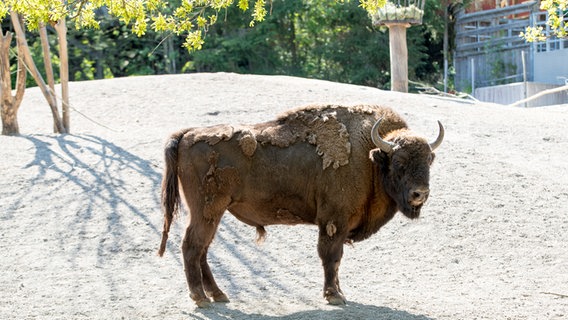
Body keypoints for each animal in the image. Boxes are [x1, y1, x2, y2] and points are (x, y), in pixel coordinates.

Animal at [159, 104, 444, 308]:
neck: (369, 155)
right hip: (207, 211)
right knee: (192, 246)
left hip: (211, 214)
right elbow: (331, 256)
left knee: (202, 250)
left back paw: (218, 295)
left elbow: (336, 259)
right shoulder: (333, 221)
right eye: (399, 162)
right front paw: (334, 296)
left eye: (429, 161)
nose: (420, 194)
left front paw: (340, 292)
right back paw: (201, 299)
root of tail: (187, 134)